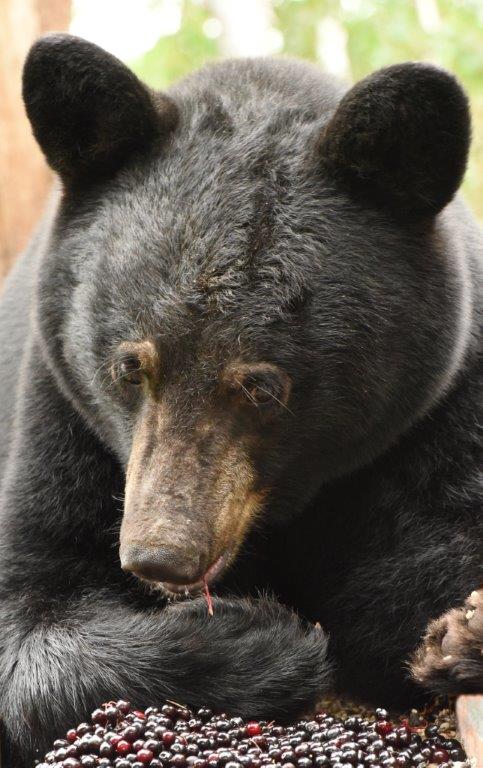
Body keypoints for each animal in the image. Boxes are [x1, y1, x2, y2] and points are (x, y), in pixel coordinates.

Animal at [0, 33, 481, 766]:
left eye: (263, 387)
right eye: (129, 366)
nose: (160, 554)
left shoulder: (447, 402)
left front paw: (454, 634)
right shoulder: (57, 409)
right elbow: (28, 606)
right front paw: (256, 636)